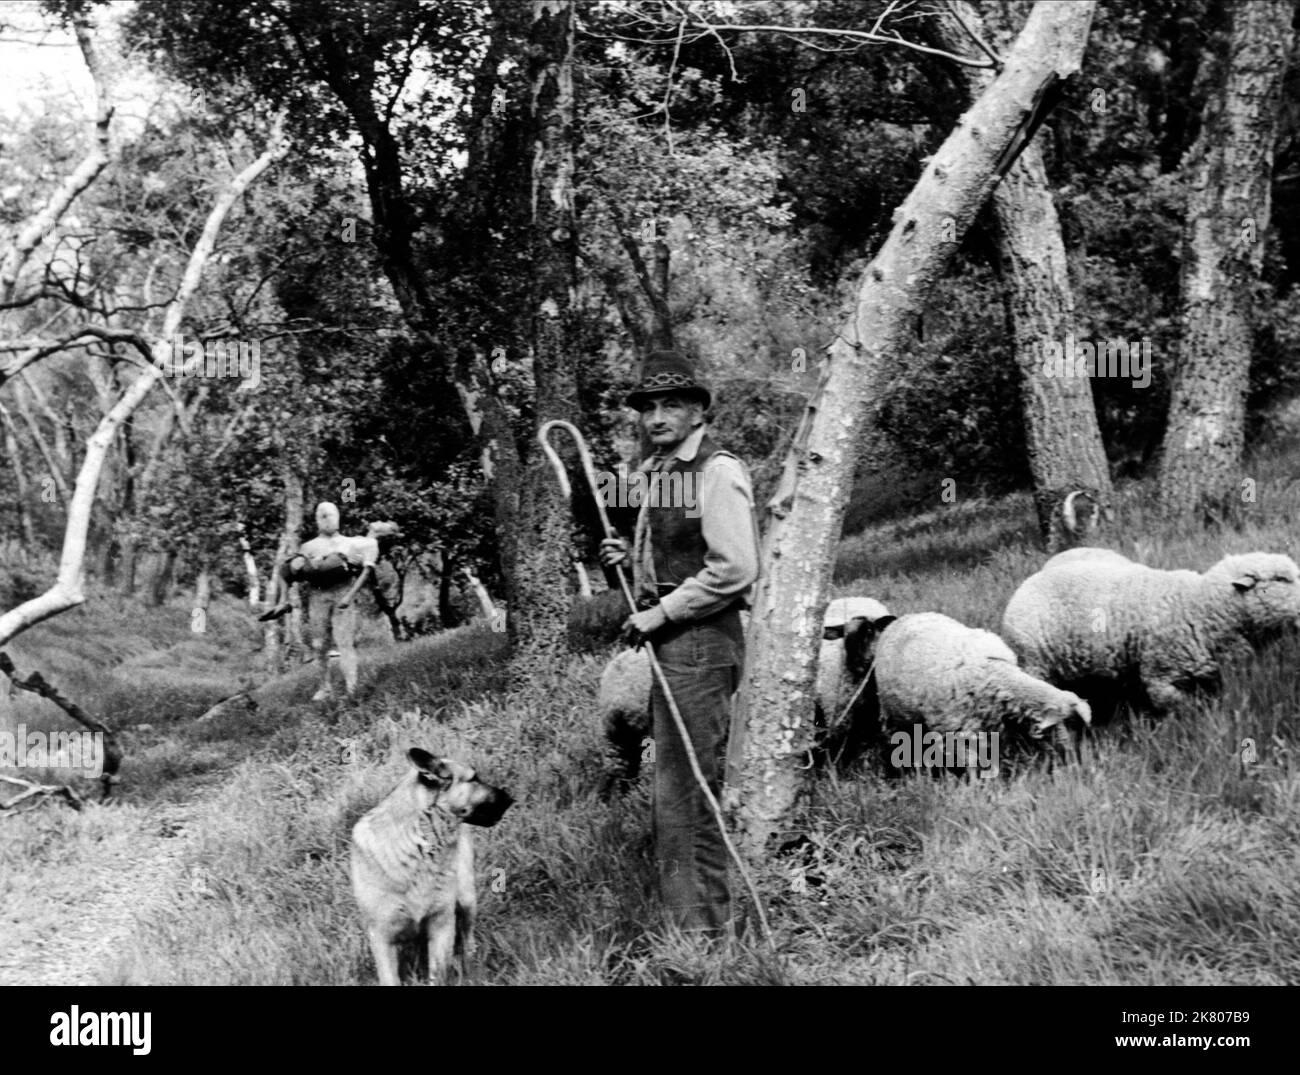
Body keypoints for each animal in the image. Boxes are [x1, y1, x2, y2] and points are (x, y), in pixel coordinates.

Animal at [351, 748, 512, 982]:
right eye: (474, 778)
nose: (511, 799)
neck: (417, 842)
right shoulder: (382, 938)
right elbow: (391, 978)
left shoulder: (441, 924)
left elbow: (438, 974)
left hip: (466, 899)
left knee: (468, 936)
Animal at [868, 613, 1092, 764]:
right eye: (1061, 726)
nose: (1072, 763)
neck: (996, 674)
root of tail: (903, 618)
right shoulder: (957, 731)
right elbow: (972, 765)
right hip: (892, 712)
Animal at [1003, 551, 1300, 717]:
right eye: (1281, 579)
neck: (1198, 606)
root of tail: (1024, 586)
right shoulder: (1160, 675)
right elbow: (1177, 705)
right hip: (1035, 663)